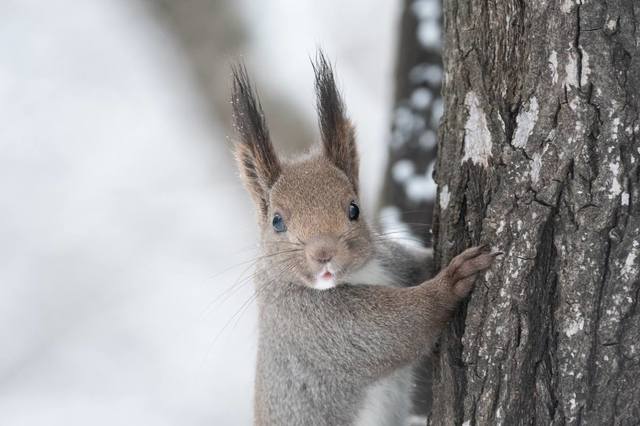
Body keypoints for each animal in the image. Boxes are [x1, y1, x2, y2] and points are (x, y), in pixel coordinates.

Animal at [231, 51, 500, 424]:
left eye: (354, 208)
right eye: (277, 221)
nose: (324, 254)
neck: (359, 275)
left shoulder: (396, 263)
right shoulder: (310, 327)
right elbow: (395, 329)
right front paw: (452, 280)